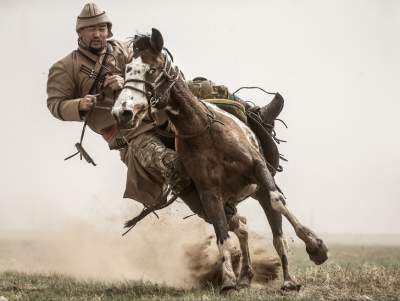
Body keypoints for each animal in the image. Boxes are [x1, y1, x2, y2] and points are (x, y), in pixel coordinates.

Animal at [111, 28, 326, 290]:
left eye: (151, 69)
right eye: (127, 70)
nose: (122, 112)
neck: (204, 131)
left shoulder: (258, 169)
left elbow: (278, 202)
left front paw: (315, 247)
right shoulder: (208, 193)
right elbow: (222, 234)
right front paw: (229, 281)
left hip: (259, 189)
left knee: (276, 229)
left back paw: (288, 278)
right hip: (210, 203)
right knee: (241, 226)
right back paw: (245, 275)